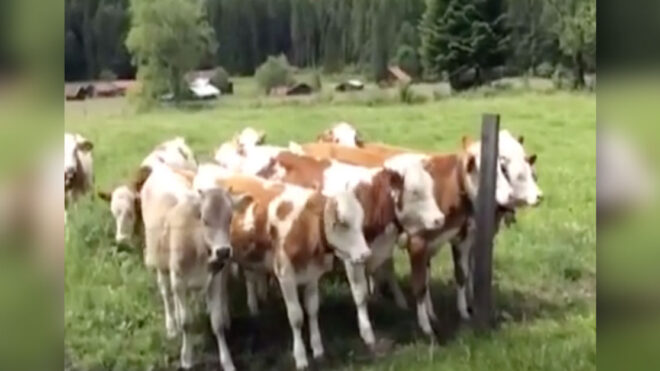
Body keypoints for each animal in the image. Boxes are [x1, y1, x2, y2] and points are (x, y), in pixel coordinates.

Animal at [141, 164, 244, 370]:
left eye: (230, 218)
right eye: (204, 220)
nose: (223, 251)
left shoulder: (214, 280)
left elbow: (217, 323)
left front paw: (227, 361)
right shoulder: (179, 281)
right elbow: (186, 322)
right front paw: (187, 358)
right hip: (160, 264)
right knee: (166, 294)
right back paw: (171, 325)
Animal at [193, 172, 374, 371]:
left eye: (361, 220)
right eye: (341, 222)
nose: (365, 254)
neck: (303, 224)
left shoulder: (312, 274)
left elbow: (312, 310)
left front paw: (318, 348)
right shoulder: (285, 274)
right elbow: (296, 317)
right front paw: (301, 357)